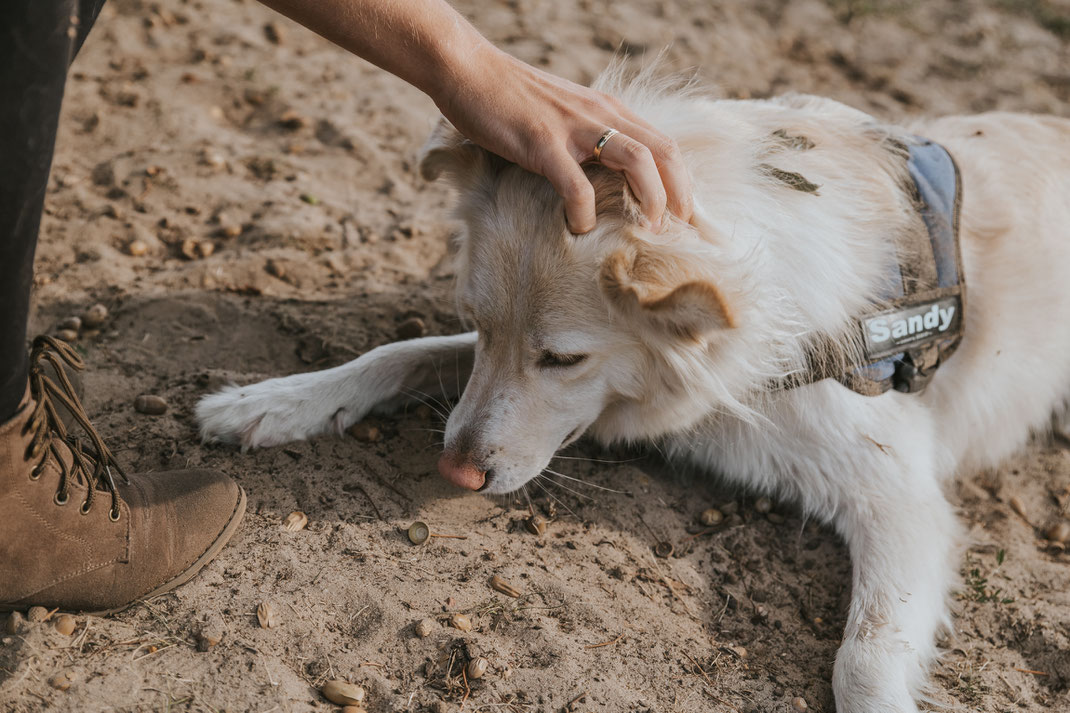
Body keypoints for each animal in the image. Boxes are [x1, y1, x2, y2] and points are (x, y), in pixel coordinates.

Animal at [199, 67, 1070, 710]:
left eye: (564, 359)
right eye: (478, 323)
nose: (456, 471)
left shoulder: (901, 494)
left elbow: (863, 658)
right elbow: (400, 351)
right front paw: (270, 402)